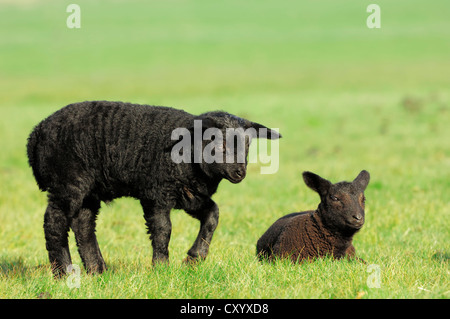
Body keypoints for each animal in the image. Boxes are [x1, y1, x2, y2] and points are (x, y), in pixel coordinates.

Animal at [25, 101, 282, 276]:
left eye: (248, 145)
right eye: (220, 144)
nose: (240, 173)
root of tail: (36, 133)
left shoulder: (189, 195)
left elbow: (212, 215)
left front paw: (194, 258)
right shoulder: (156, 193)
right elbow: (163, 230)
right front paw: (161, 267)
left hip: (89, 191)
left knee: (83, 225)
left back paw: (97, 270)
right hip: (68, 182)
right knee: (55, 221)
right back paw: (63, 272)